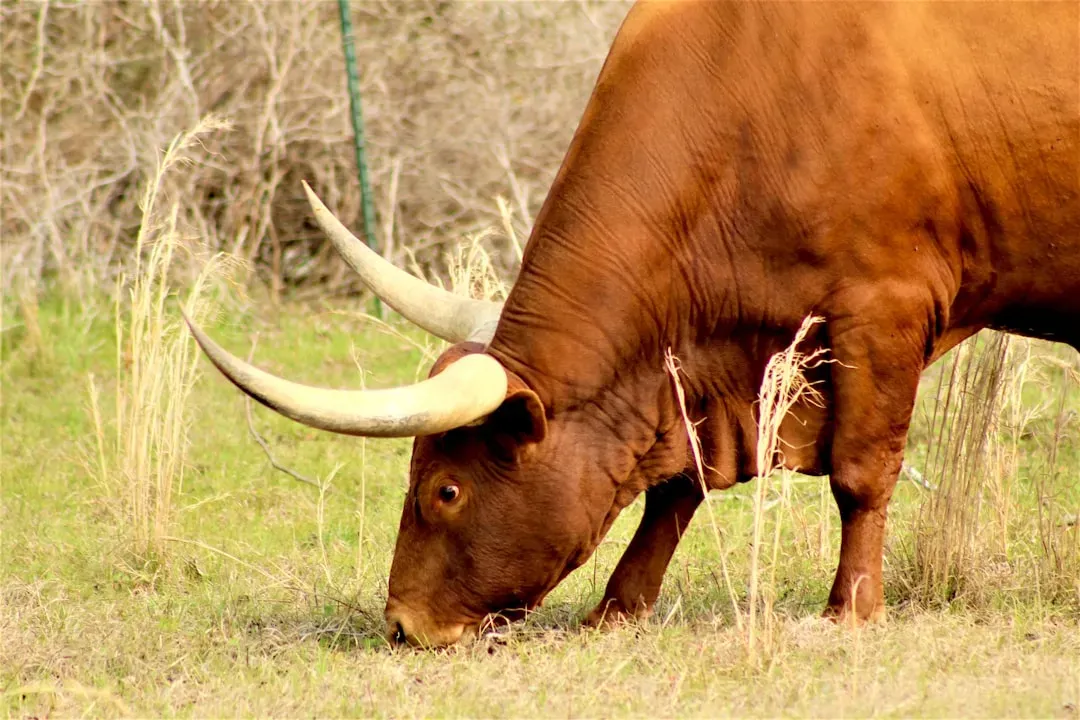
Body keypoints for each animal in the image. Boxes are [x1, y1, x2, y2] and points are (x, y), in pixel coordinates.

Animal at [185, 1, 1079, 647]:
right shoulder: (696, 378)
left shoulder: (882, 310)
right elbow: (676, 487)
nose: (403, 626)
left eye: (447, 490)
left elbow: (861, 474)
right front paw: (618, 607)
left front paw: (850, 609)